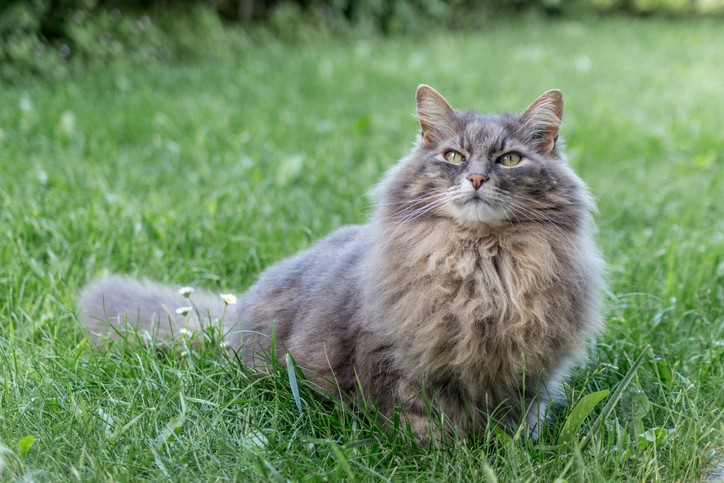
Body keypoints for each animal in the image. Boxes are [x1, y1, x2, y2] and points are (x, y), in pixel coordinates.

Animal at [78, 86, 604, 442]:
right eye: (453, 156)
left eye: (509, 159)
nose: (475, 178)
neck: (484, 267)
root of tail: (235, 309)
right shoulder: (404, 365)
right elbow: (427, 425)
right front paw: (446, 457)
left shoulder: (528, 375)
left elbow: (518, 426)